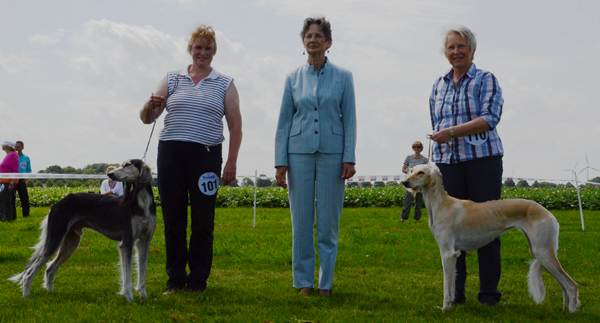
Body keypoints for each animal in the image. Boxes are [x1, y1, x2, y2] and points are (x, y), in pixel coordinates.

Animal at [9, 159, 156, 304]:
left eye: (128, 165)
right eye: (121, 164)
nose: (110, 174)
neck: (142, 203)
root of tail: (56, 204)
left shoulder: (144, 242)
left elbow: (142, 274)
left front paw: (143, 298)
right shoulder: (126, 242)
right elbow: (128, 277)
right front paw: (129, 299)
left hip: (70, 243)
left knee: (49, 270)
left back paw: (51, 293)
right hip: (56, 238)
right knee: (29, 273)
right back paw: (26, 297)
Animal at [404, 166, 580, 312]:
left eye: (421, 172)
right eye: (411, 170)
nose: (405, 182)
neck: (442, 205)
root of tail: (548, 213)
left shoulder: (447, 253)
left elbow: (447, 286)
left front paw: (445, 309)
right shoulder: (454, 254)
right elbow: (452, 283)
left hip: (543, 252)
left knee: (572, 285)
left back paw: (572, 310)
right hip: (540, 252)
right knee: (564, 284)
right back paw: (565, 307)